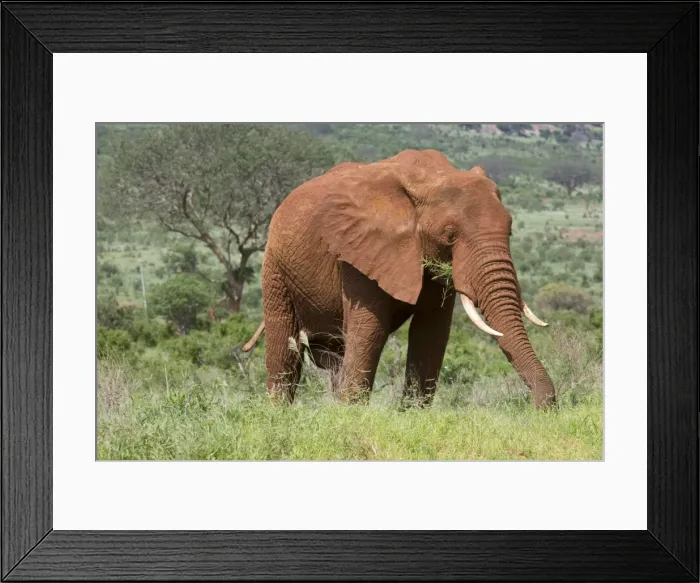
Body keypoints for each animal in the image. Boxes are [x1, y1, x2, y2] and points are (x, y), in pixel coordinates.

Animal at [243, 149, 556, 408]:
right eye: (450, 236)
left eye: (510, 231)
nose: (542, 409)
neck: (431, 177)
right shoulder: (360, 250)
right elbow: (370, 329)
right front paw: (350, 416)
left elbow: (431, 332)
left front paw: (411, 414)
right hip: (275, 263)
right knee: (284, 345)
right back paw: (279, 414)